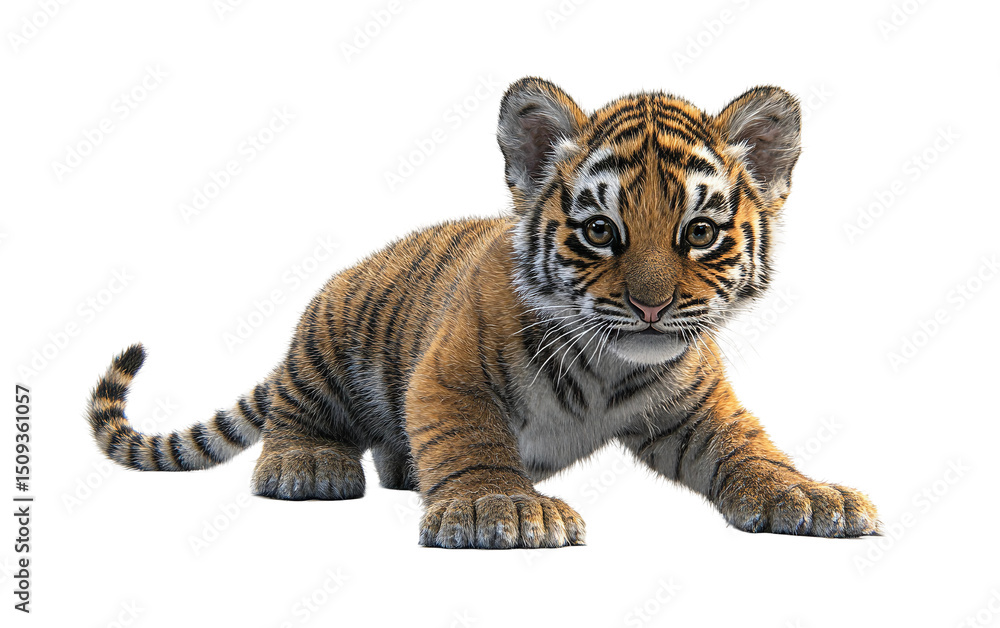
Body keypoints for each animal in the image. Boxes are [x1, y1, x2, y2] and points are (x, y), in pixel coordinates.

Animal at [86, 77, 880, 548]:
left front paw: (810, 496)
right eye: (601, 231)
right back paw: (307, 464)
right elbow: (471, 442)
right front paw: (499, 508)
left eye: (701, 232)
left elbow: (750, 449)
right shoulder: (449, 376)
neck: (609, 366)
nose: (651, 307)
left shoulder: (699, 407)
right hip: (328, 344)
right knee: (295, 415)